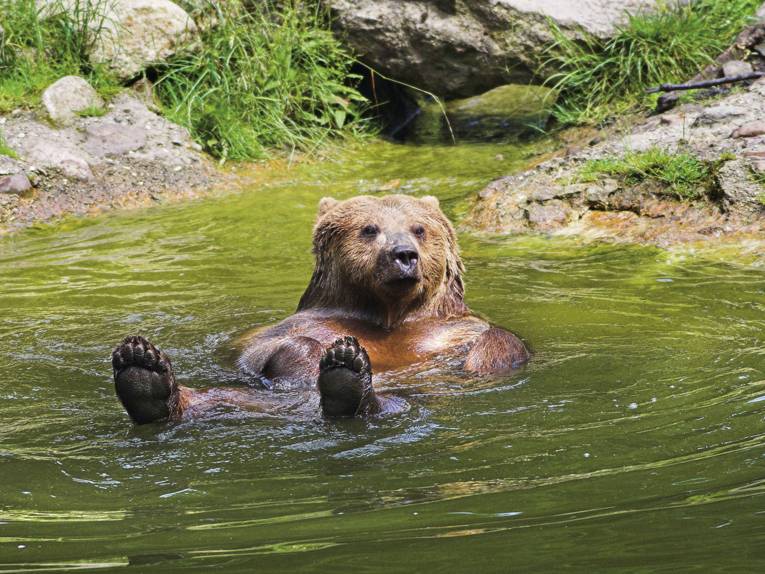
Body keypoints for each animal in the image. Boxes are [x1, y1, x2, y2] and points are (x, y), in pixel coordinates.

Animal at [111, 194, 529, 423]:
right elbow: (277, 344)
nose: (403, 255)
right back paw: (144, 371)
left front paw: (484, 358)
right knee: (209, 396)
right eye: (369, 229)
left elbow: (501, 341)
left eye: (419, 229)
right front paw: (328, 354)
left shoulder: (449, 330)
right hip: (239, 398)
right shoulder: (299, 324)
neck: (388, 314)